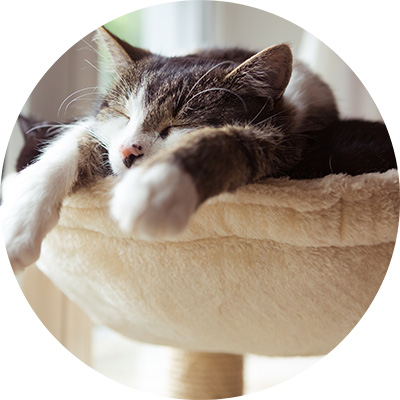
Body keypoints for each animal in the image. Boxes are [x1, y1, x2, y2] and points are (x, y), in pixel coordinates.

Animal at [1, 26, 390, 274]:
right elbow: (77, 139)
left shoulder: (280, 140)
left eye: (176, 126)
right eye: (125, 115)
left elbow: (229, 144)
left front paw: (154, 189)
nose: (128, 152)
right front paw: (19, 224)